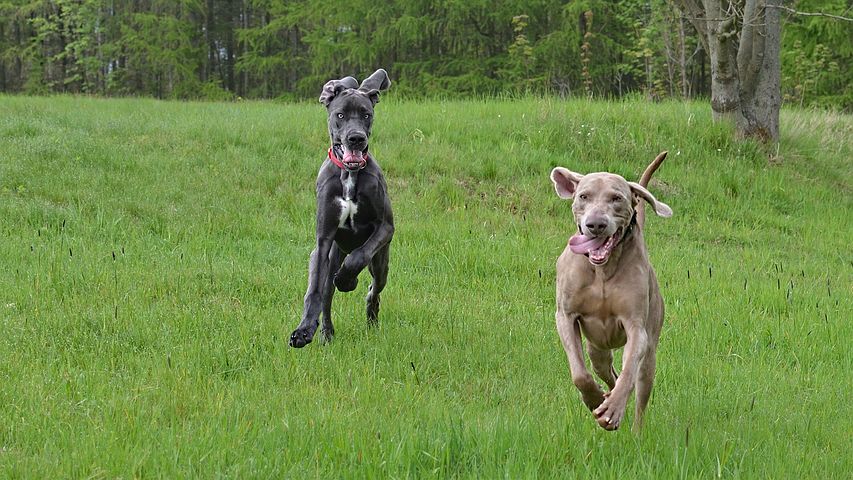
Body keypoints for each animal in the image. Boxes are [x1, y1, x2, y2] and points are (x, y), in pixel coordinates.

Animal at [288, 68, 392, 348]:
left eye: (366, 114)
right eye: (340, 115)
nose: (356, 138)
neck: (349, 175)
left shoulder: (386, 227)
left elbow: (360, 255)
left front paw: (348, 280)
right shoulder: (323, 240)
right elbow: (313, 292)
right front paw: (303, 330)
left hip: (382, 262)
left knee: (374, 289)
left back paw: (369, 314)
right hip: (329, 256)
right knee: (325, 293)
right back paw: (325, 332)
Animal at [552, 152, 672, 430]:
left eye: (617, 198)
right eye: (583, 196)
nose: (595, 224)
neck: (602, 270)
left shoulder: (637, 327)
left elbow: (629, 372)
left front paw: (613, 409)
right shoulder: (565, 316)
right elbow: (580, 374)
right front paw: (594, 399)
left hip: (650, 353)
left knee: (638, 388)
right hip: (597, 349)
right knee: (606, 370)